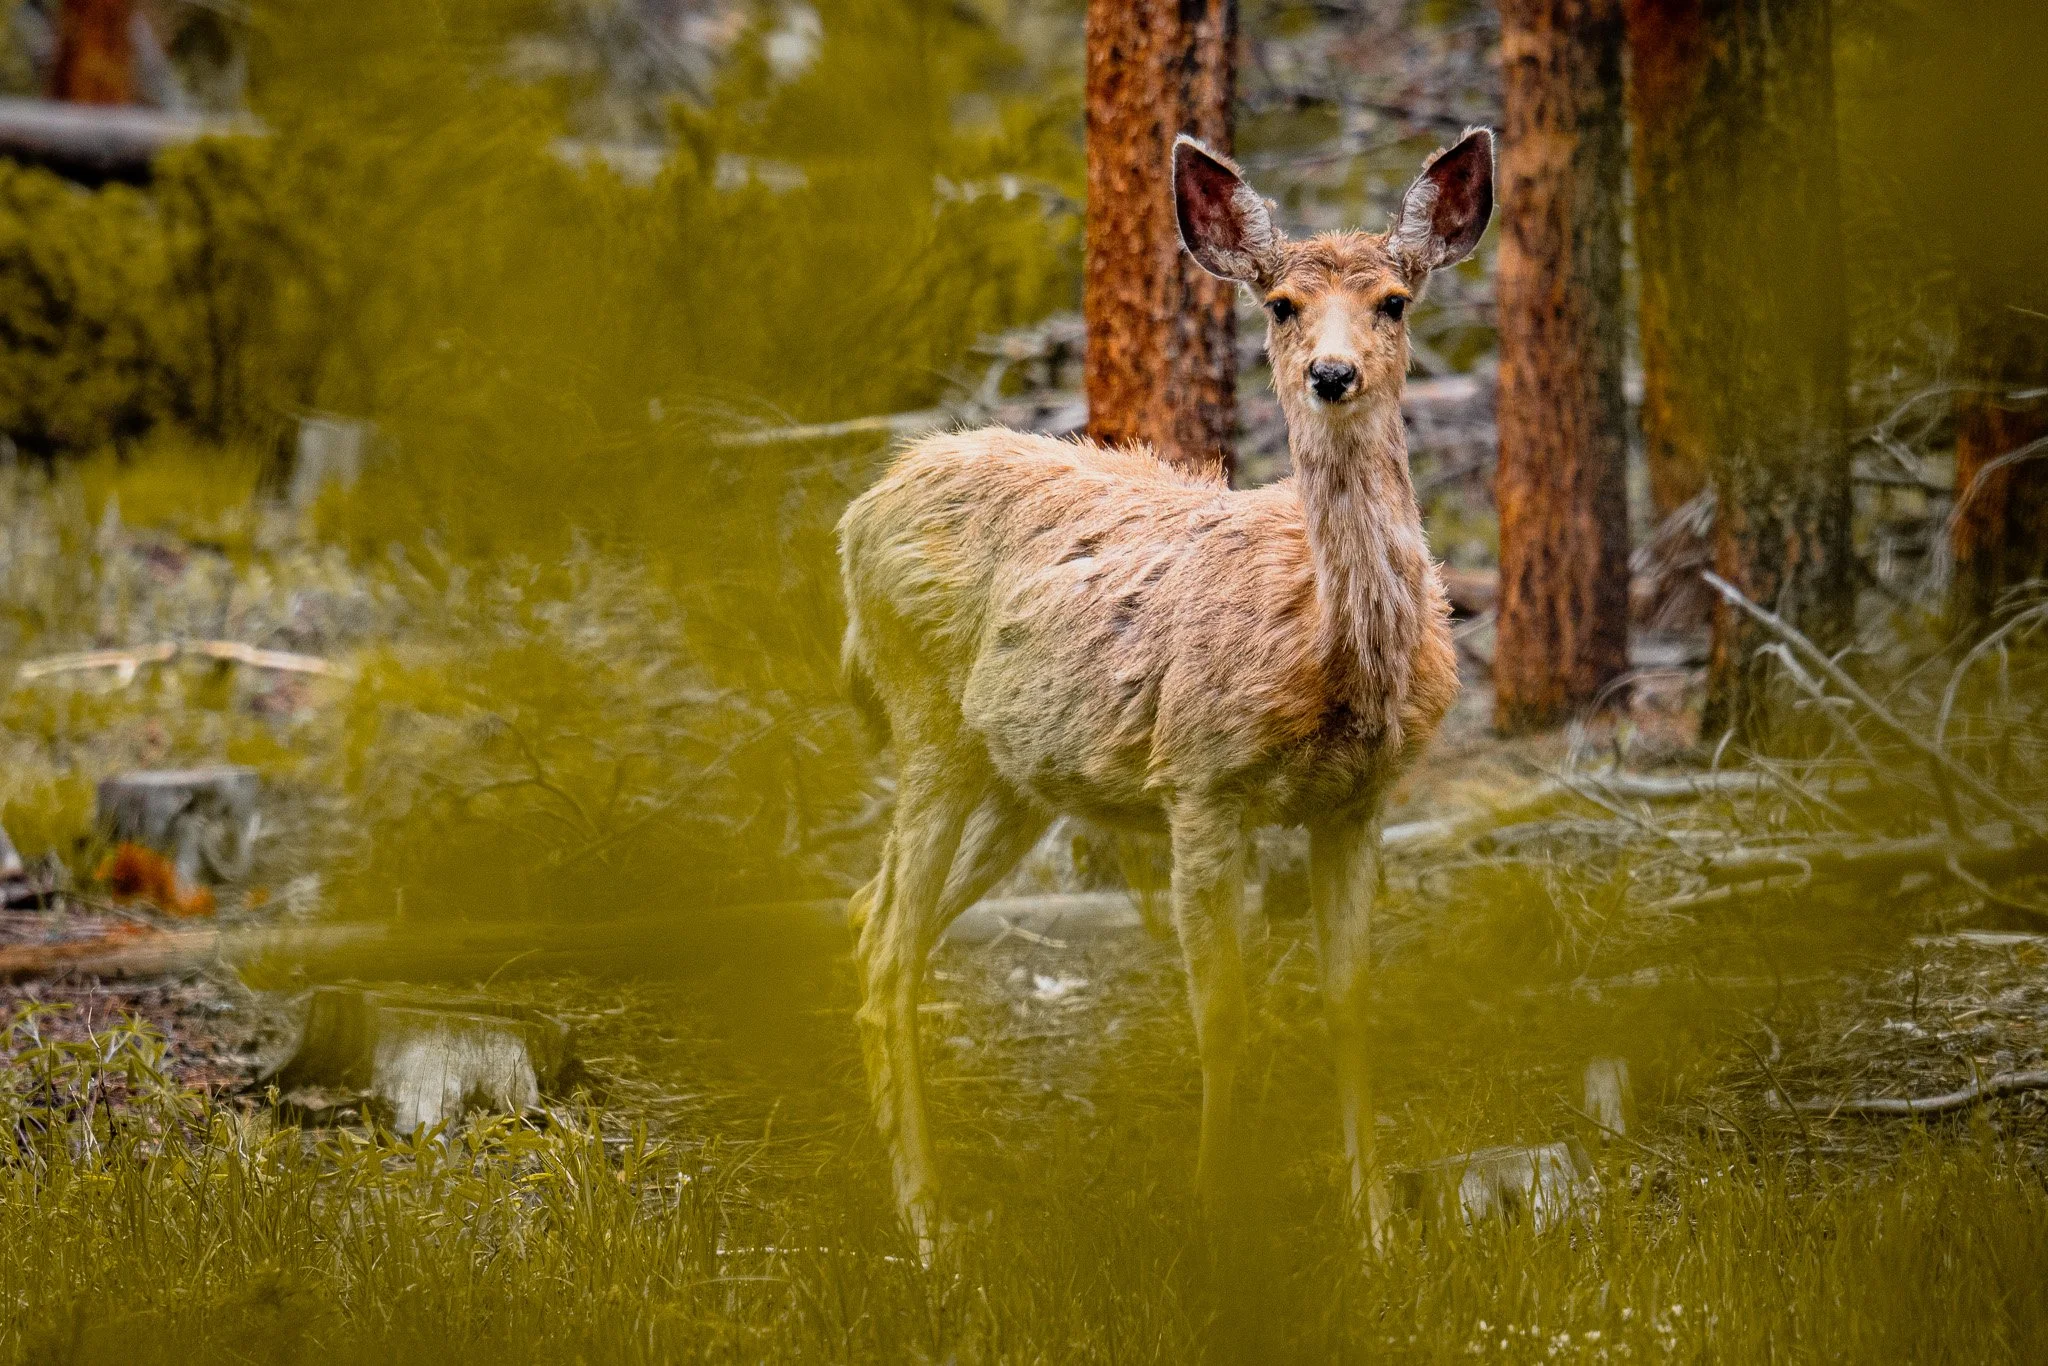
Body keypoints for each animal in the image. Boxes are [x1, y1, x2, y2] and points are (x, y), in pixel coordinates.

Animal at [838, 127, 1494, 1254]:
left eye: (1394, 301)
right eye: (1279, 303)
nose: (1331, 374)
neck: (1333, 658)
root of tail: (861, 506)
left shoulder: (1360, 802)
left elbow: (1348, 997)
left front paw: (1373, 1225)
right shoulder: (1198, 781)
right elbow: (1221, 1014)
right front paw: (1214, 1224)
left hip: (1015, 779)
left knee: (873, 917)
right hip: (926, 722)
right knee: (884, 945)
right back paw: (926, 1219)